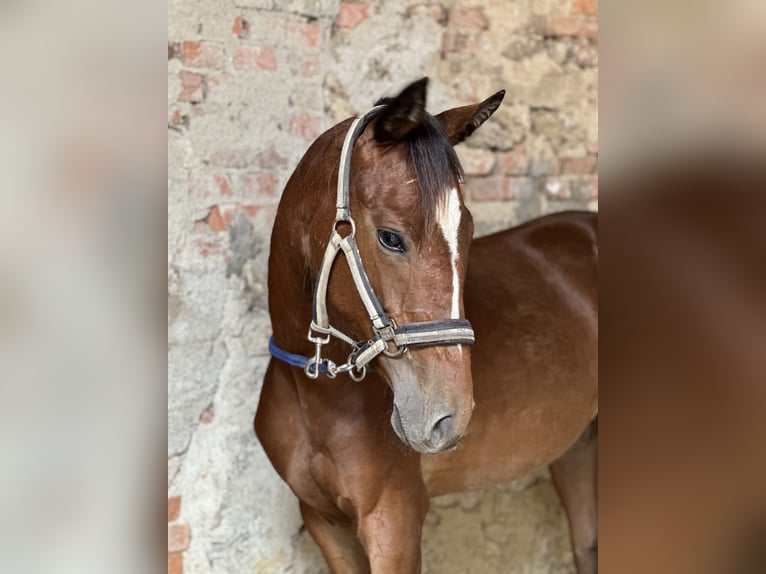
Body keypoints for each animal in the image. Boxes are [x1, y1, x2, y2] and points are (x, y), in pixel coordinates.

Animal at [255, 78, 598, 574]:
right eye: (390, 237)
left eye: (468, 233)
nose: (449, 418)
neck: (315, 395)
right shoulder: (324, 521)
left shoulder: (393, 521)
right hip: (577, 449)